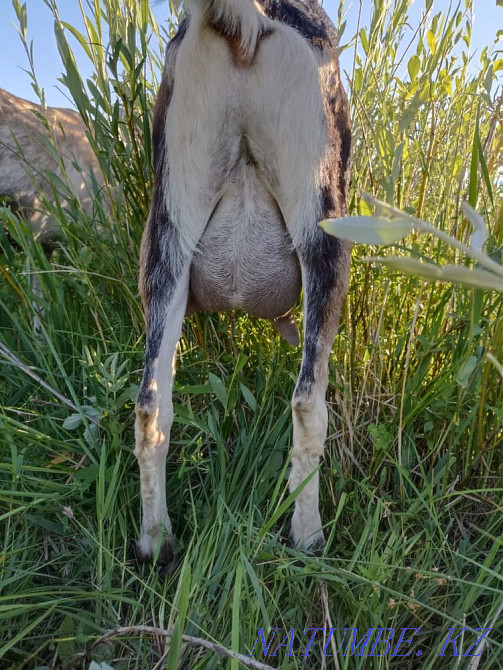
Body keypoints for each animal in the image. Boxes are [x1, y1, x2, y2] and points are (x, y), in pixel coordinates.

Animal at [135, 0, 351, 564]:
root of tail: (248, 28)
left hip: (167, 236)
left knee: (150, 408)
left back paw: (156, 540)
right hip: (323, 234)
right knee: (307, 403)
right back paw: (307, 535)